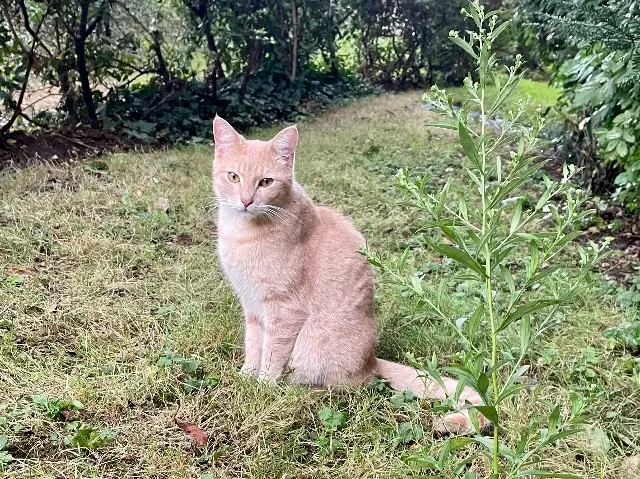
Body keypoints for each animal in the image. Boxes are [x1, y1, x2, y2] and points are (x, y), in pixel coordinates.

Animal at [212, 116, 488, 436]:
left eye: (265, 182)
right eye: (234, 177)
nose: (246, 200)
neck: (241, 234)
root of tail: (371, 361)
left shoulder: (284, 312)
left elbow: (271, 353)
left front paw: (263, 386)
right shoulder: (253, 308)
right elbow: (253, 346)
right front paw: (247, 376)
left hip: (316, 353)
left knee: (347, 387)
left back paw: (298, 390)